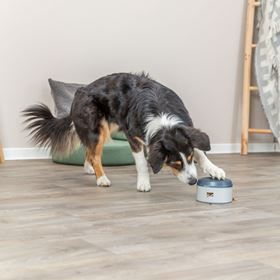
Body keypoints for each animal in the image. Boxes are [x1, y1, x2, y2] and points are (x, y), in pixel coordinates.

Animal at [23, 72, 226, 191]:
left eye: (190, 159)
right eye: (174, 163)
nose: (193, 181)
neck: (162, 117)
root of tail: (80, 91)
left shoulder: (185, 131)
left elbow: (200, 151)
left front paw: (214, 169)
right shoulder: (133, 137)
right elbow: (141, 163)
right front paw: (143, 183)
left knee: (89, 151)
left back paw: (89, 169)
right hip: (98, 129)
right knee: (95, 154)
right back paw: (101, 178)